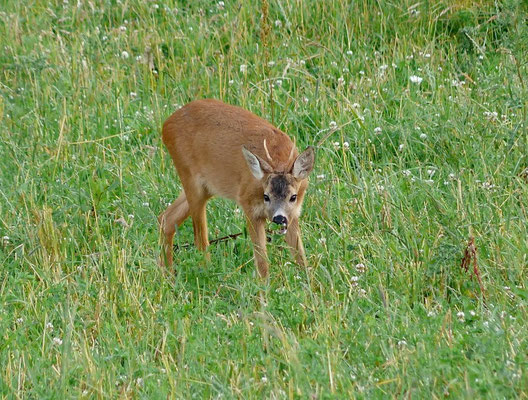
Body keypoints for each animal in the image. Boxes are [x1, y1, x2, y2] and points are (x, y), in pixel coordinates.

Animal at [157, 98, 314, 278]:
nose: (279, 218)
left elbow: (300, 255)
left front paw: (309, 281)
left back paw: (167, 273)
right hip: (190, 177)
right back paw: (207, 274)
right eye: (266, 196)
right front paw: (264, 284)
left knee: (167, 218)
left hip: (207, 187)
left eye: (293, 196)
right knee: (199, 238)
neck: (278, 161)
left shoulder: (294, 213)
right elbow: (261, 260)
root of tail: (166, 126)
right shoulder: (249, 206)